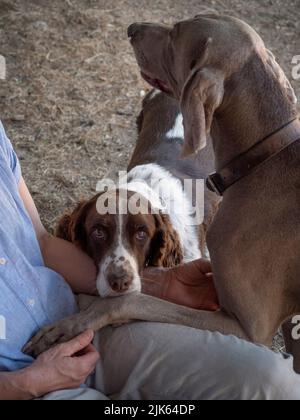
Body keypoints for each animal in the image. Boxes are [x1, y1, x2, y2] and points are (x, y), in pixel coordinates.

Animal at [24, 14, 300, 372]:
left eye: (178, 32)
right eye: (98, 231)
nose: (132, 28)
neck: (267, 154)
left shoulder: (246, 326)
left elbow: (130, 302)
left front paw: (67, 325)